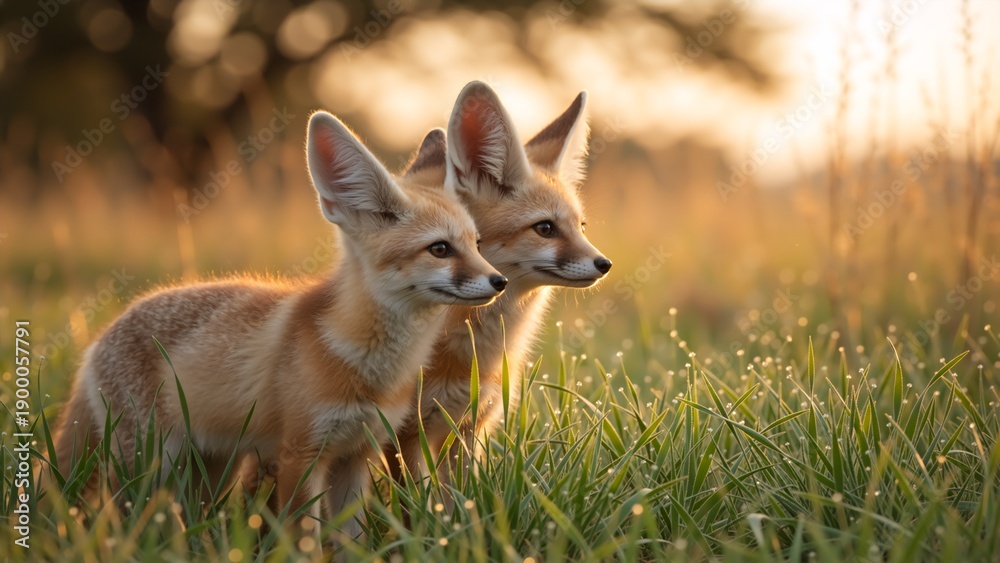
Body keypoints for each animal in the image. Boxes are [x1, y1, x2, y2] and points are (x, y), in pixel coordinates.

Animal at [52, 110, 508, 538]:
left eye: (477, 244)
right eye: (440, 249)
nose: (499, 281)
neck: (368, 365)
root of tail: (100, 335)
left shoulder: (356, 453)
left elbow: (352, 541)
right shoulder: (299, 455)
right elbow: (305, 538)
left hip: (210, 470)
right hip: (151, 464)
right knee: (117, 521)